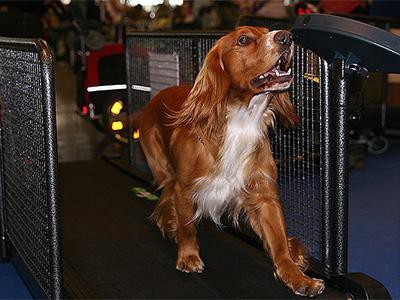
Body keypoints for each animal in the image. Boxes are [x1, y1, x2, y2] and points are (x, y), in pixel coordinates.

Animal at [140, 26, 324, 298]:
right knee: (165, 199)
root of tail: (159, 93)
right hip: (164, 170)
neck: (241, 121)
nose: (286, 37)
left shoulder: (264, 195)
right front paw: (188, 256)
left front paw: (297, 277)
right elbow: (188, 227)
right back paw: (169, 224)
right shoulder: (185, 189)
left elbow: (279, 242)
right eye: (243, 40)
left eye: (267, 31)